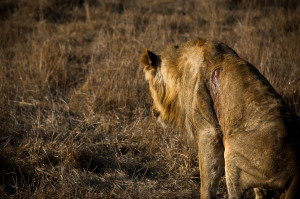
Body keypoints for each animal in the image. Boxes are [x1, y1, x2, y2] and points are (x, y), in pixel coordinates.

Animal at [141, 38, 300, 198]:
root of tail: (295, 174)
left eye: (149, 84)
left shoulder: (208, 131)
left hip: (232, 154)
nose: (153, 110)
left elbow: (207, 177)